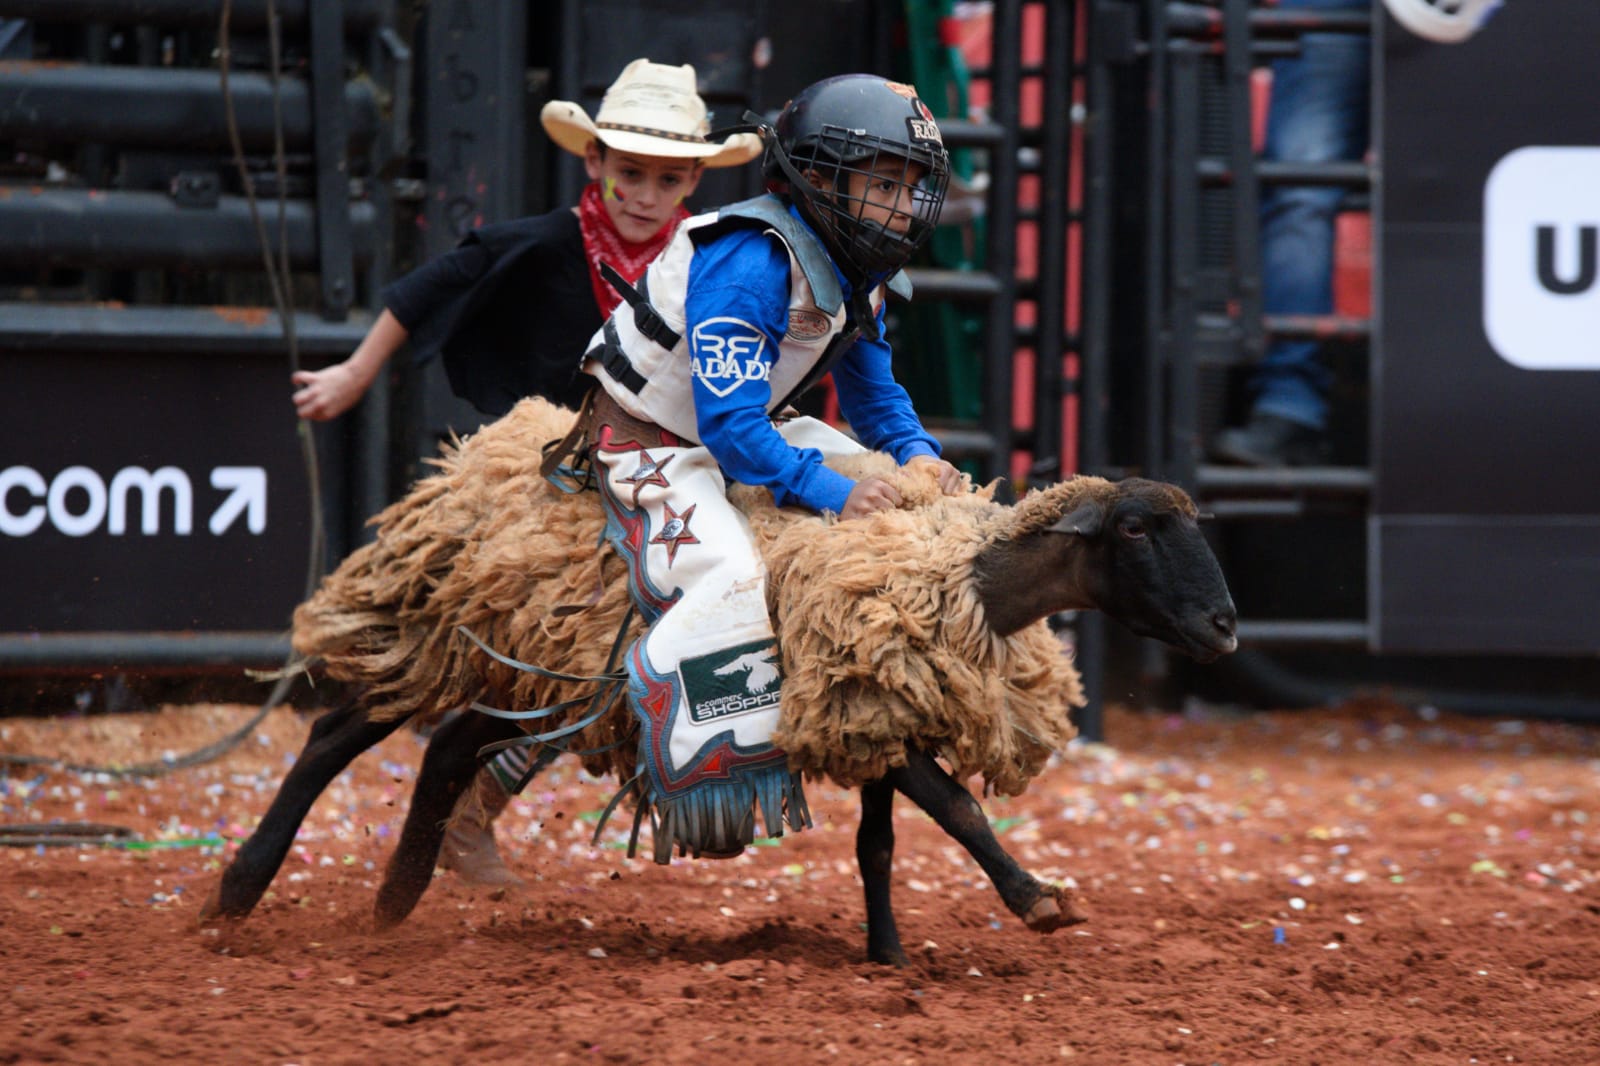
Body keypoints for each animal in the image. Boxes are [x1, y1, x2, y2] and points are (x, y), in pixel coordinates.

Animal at [206, 396, 1235, 960]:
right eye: (1136, 529)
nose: (1224, 626)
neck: (958, 579)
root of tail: (471, 458)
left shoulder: (873, 709)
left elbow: (879, 846)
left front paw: (889, 958)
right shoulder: (846, 709)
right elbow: (962, 810)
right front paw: (1038, 900)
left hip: (544, 677)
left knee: (451, 745)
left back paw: (397, 897)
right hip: (435, 634)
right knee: (335, 734)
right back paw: (238, 893)